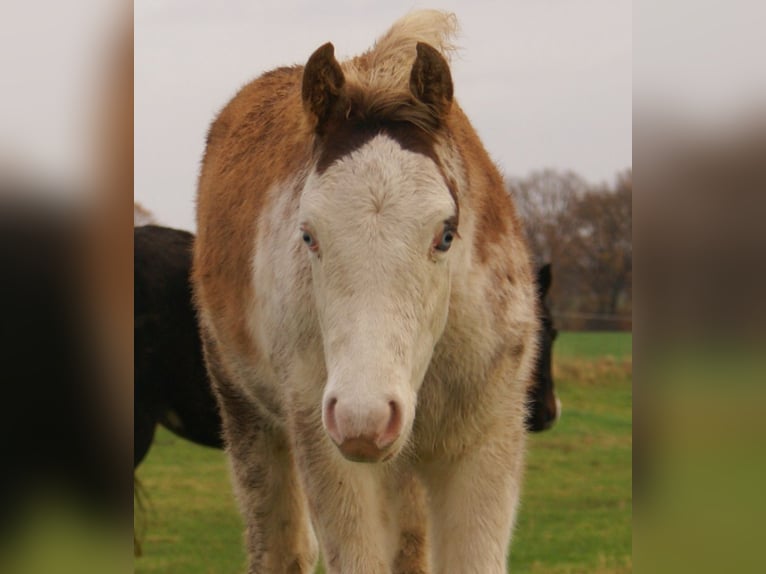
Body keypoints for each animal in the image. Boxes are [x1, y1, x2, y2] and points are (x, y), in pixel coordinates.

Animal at [192, 11, 538, 573]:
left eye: (446, 234)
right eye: (308, 234)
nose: (365, 418)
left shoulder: (485, 443)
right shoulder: (325, 442)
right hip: (244, 408)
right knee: (282, 547)